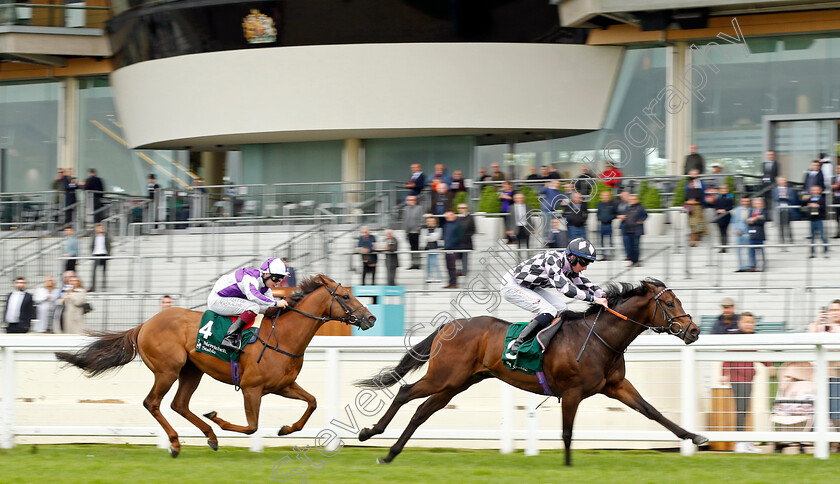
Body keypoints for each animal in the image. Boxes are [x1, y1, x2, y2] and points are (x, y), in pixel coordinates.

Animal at [55, 276, 374, 458]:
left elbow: (313, 402)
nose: (370, 318)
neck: (281, 338)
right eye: (345, 296)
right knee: (153, 403)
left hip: (191, 370)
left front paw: (286, 428)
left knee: (179, 404)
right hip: (168, 370)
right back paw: (177, 443)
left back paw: (208, 436)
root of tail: (144, 324)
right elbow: (251, 426)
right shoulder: (252, 388)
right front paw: (220, 419)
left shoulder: (282, 385)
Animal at [358, 280, 704, 466]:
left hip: (457, 383)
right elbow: (567, 433)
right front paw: (568, 467)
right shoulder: (572, 392)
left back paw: (389, 454)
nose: (694, 331)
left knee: (422, 411)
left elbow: (653, 412)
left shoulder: (617, 386)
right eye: (669, 303)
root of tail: (450, 325)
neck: (598, 338)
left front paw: (695, 436)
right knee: (405, 392)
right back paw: (369, 433)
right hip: (444, 376)